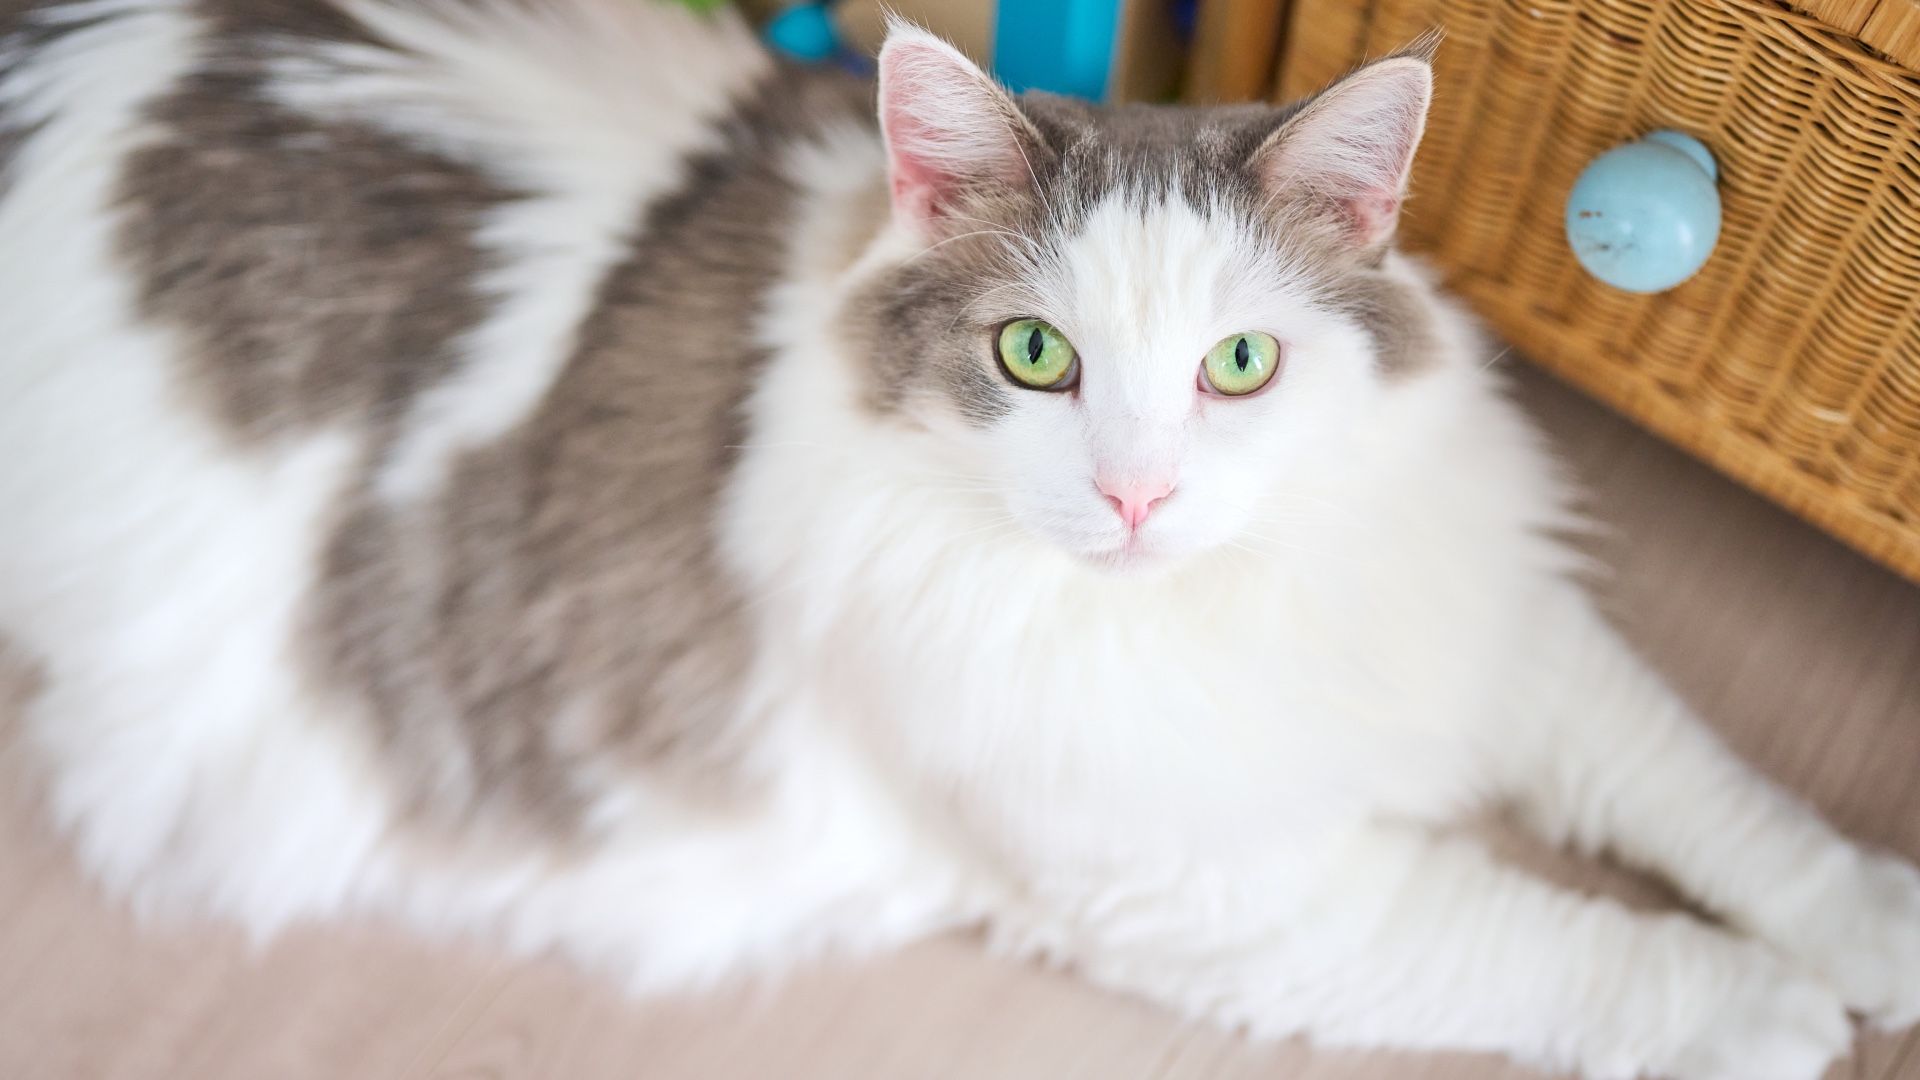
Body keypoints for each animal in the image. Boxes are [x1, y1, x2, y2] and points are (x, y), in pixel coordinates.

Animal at [3, 0, 1920, 1068]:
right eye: (1034, 358)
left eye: (1239, 366)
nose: (1138, 495)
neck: (1204, 616)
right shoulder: (1222, 892)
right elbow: (1545, 936)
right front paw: (1767, 1016)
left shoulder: (1494, 629)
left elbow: (1710, 797)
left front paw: (1873, 936)